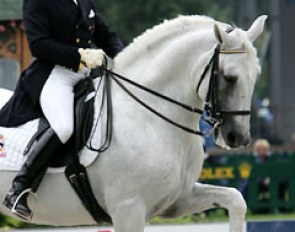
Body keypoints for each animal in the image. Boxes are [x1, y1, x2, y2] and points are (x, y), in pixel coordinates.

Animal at [0, 14, 268, 232]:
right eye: (230, 78)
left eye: (257, 74)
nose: (238, 138)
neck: (149, 116)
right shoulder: (129, 210)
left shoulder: (178, 199)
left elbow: (235, 199)